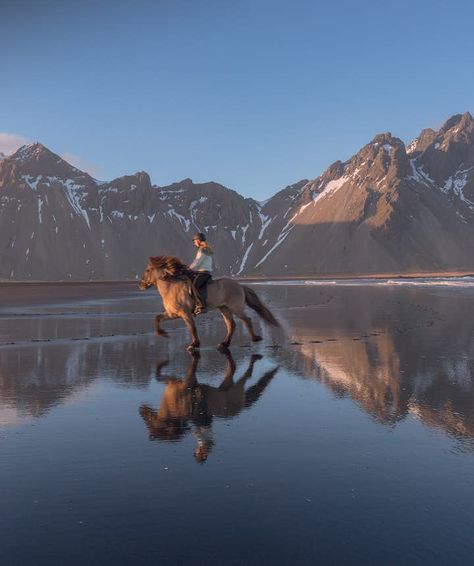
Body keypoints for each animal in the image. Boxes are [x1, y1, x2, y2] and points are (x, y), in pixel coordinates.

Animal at [138, 256, 278, 350]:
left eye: (147, 270)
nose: (141, 285)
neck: (171, 288)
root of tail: (240, 286)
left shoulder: (185, 314)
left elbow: (192, 328)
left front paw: (194, 345)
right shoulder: (173, 314)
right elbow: (157, 318)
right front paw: (162, 334)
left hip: (235, 308)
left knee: (246, 320)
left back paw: (255, 338)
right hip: (224, 308)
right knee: (231, 325)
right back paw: (224, 343)